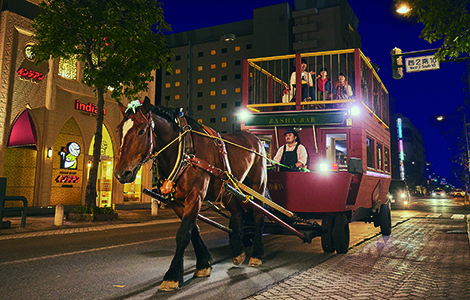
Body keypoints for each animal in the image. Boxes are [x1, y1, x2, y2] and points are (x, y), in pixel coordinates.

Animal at [114, 97, 266, 292]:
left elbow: (183, 234)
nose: (121, 173)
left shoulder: (196, 195)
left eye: (141, 130)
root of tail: (256, 138)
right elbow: (193, 230)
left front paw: (172, 275)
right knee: (238, 213)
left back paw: (257, 254)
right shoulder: (176, 201)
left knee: (258, 216)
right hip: (227, 190)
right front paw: (203, 264)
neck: (184, 152)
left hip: (257, 186)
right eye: (119, 130)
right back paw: (239, 250)